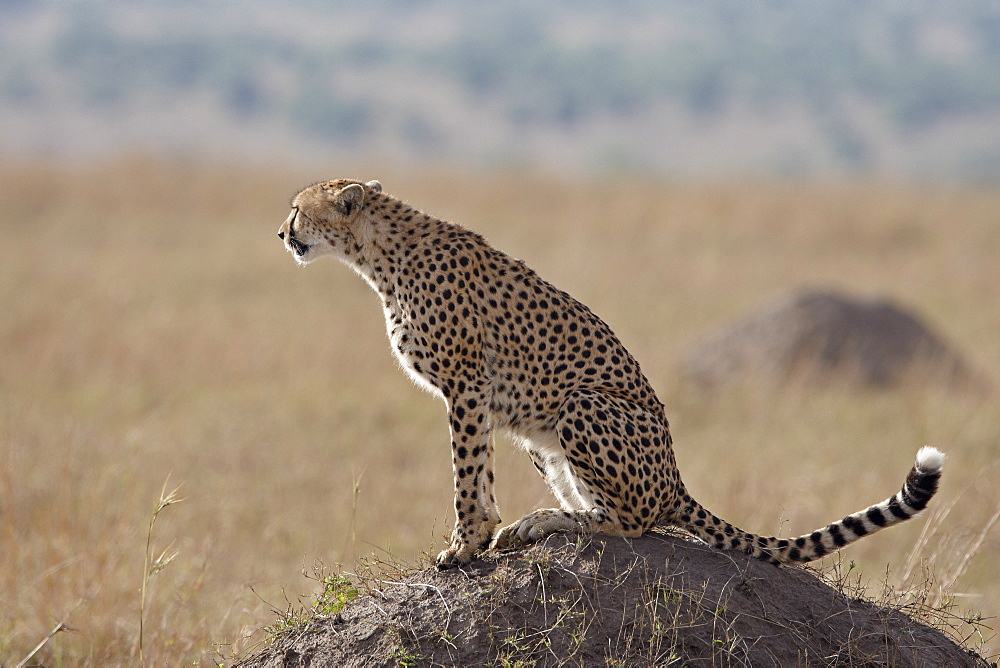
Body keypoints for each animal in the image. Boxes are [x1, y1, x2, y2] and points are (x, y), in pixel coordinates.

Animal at [280, 181, 944, 568]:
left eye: (296, 209)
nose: (282, 233)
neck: (380, 255)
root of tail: (675, 483)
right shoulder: (481, 398)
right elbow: (479, 472)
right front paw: (480, 536)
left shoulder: (467, 386)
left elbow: (466, 474)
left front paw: (464, 545)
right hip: (540, 434)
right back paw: (536, 523)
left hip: (581, 404)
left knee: (632, 524)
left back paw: (541, 521)